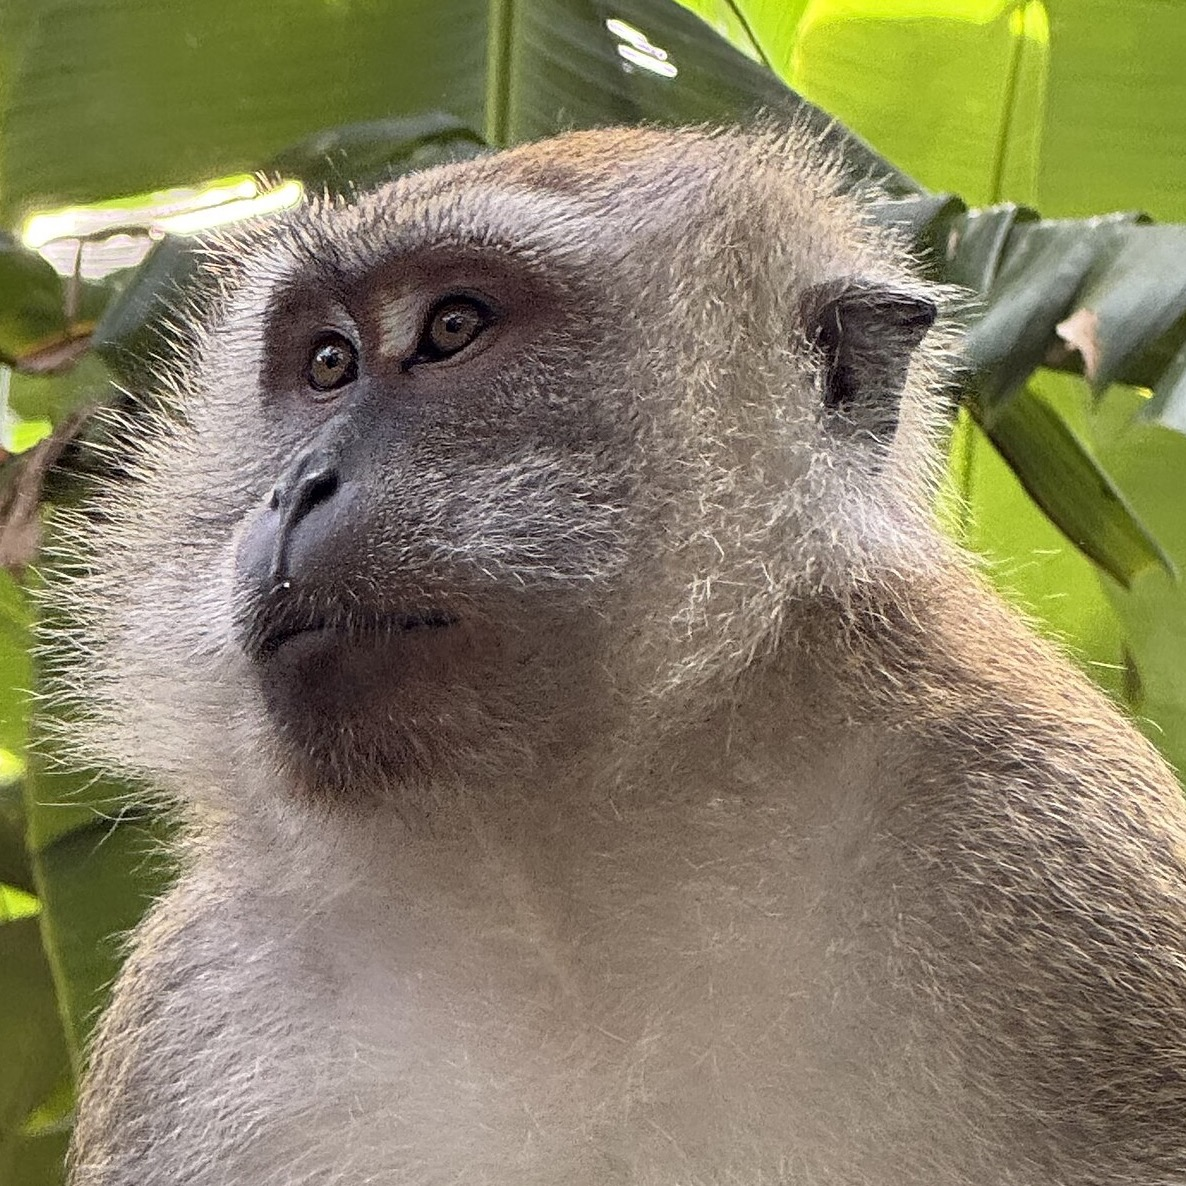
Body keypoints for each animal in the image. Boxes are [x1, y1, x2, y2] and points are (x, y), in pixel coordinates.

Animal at [43, 124, 1186, 1186]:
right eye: (327, 363)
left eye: (452, 327)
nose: (294, 488)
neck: (565, 860)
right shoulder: (204, 996)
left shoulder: (1035, 835)